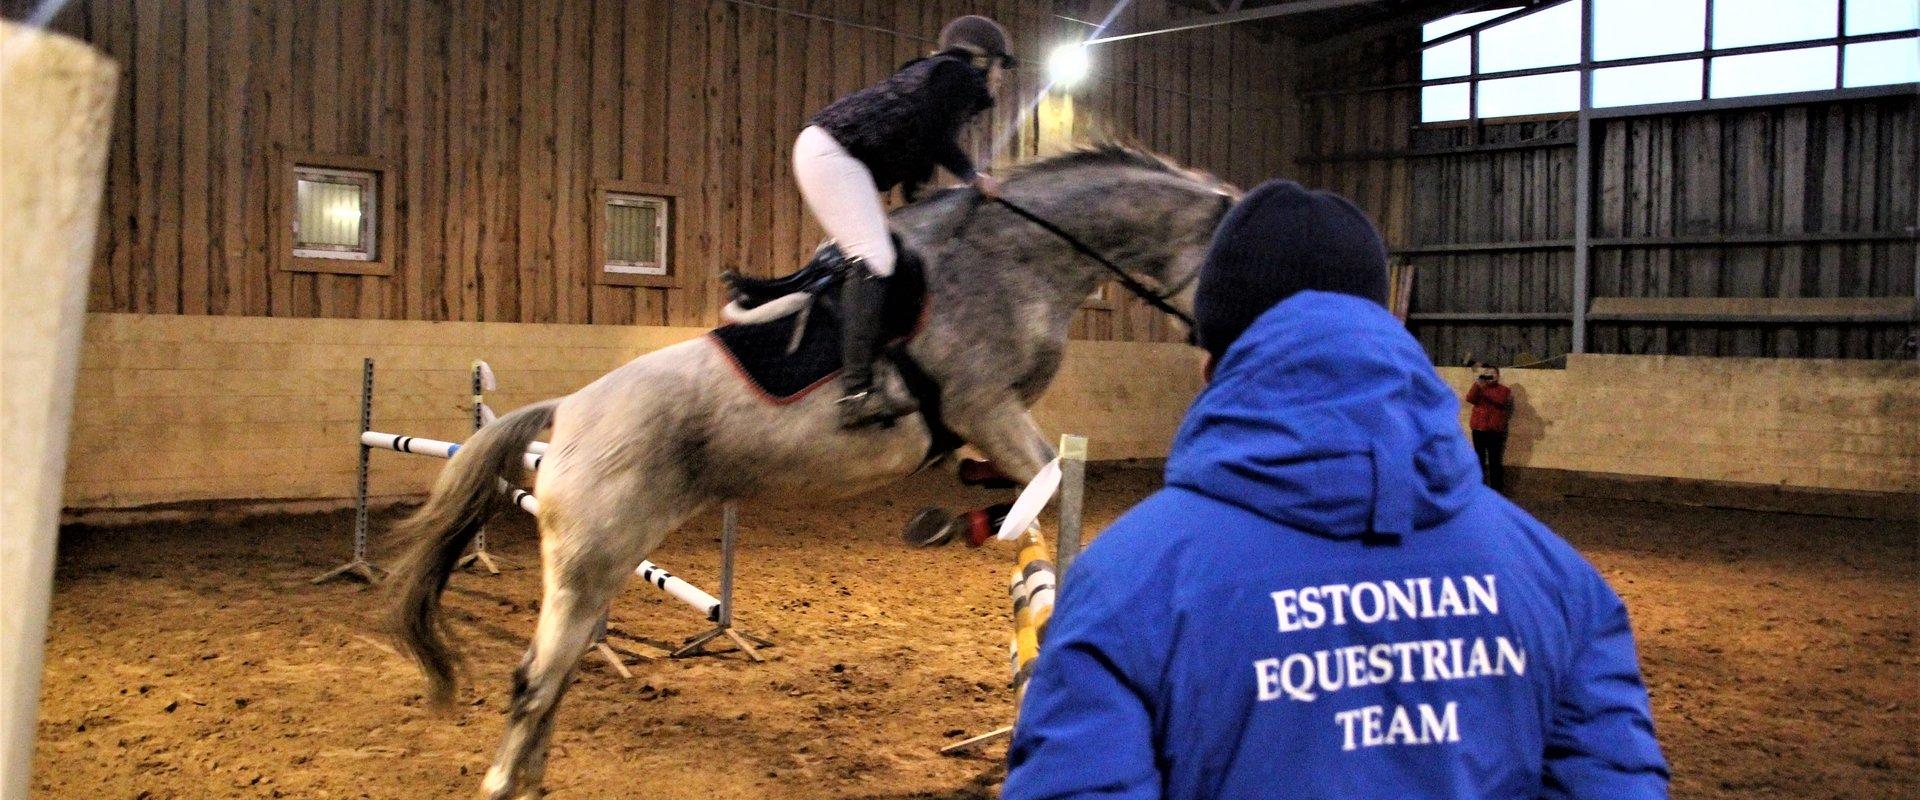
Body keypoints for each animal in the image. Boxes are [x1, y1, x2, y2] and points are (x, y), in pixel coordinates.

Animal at [382, 144, 1236, 798]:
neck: (1017, 261)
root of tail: (566, 413)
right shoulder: (985, 405)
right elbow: (1049, 484)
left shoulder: (991, 424)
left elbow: (1016, 488)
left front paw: (961, 527)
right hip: (588, 559)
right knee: (533, 677)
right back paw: (503, 781)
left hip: (609, 560)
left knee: (553, 678)